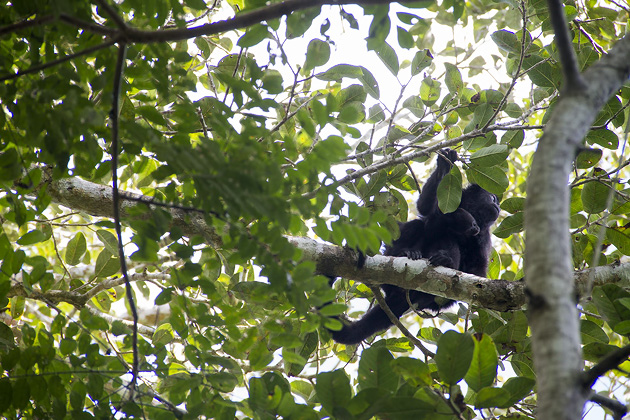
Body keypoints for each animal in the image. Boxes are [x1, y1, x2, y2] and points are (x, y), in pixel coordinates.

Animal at [330, 148, 504, 344]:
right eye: (492, 198)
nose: (498, 206)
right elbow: (425, 208)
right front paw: (444, 167)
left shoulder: (484, 238)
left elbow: (477, 273)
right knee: (419, 226)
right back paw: (406, 253)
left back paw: (444, 260)